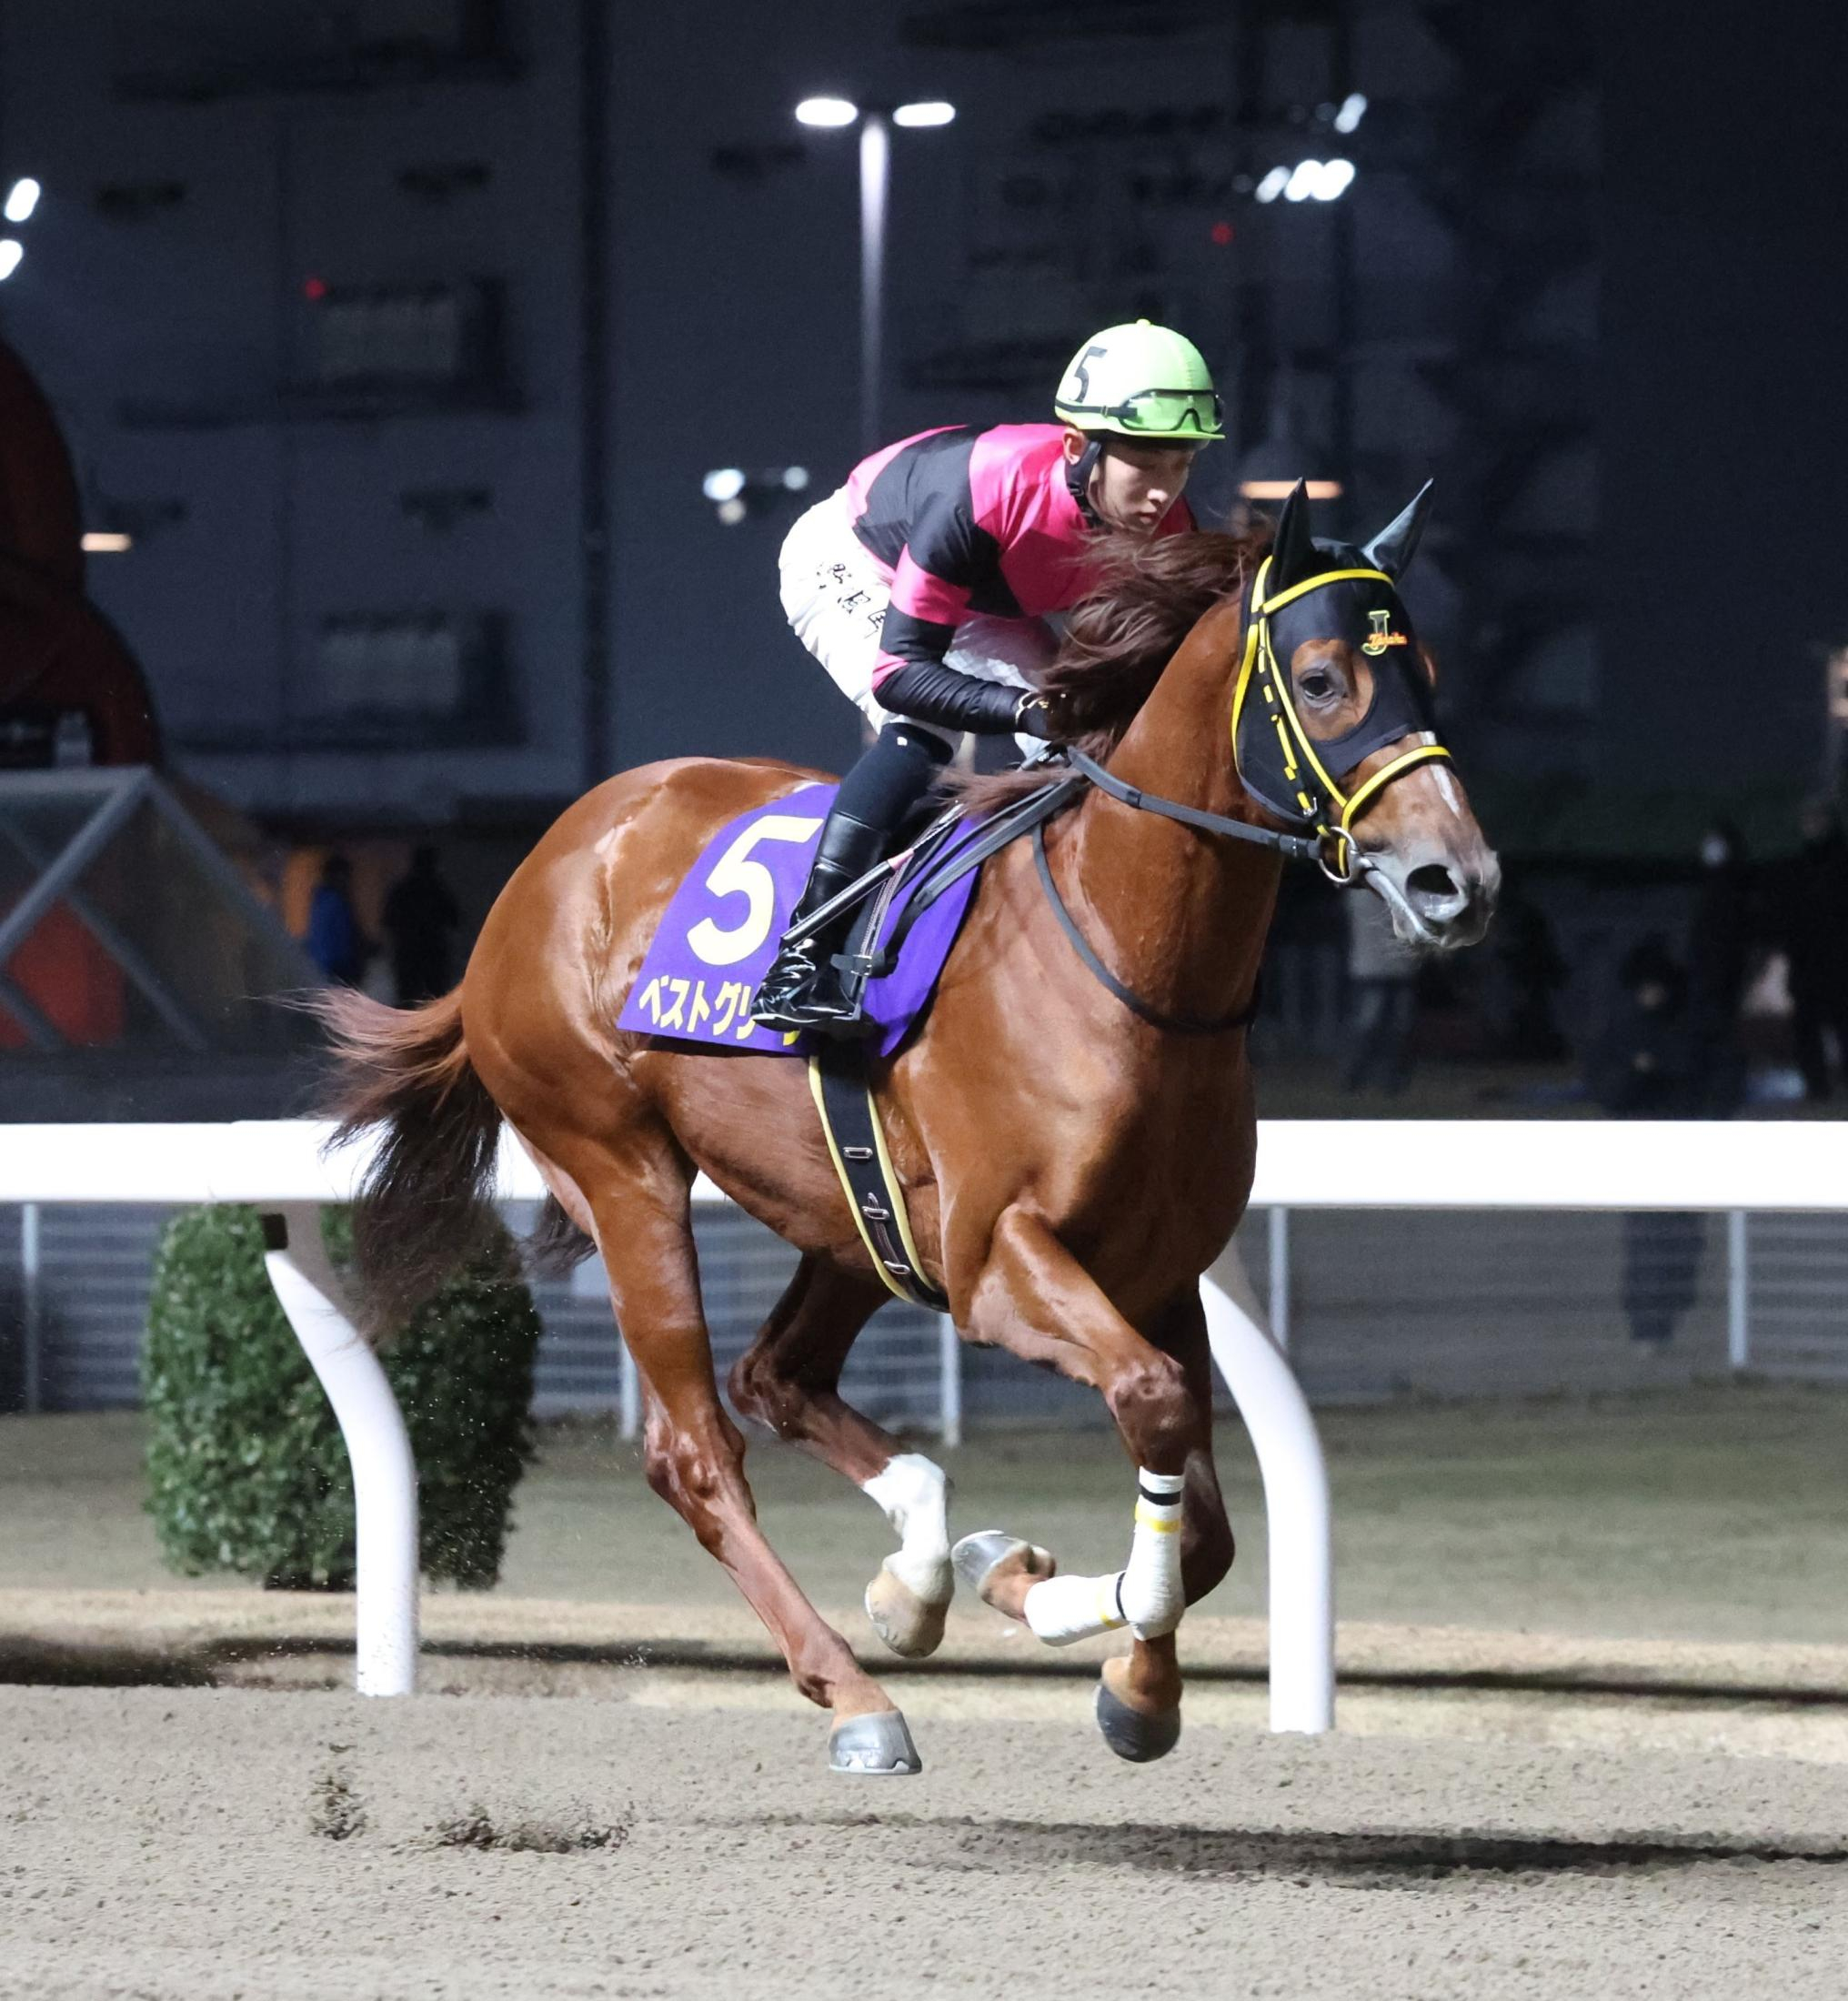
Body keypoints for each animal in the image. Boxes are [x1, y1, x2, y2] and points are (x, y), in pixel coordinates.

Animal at [318, 482, 1499, 1774]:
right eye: (1325, 678)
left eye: (1426, 669)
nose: (1457, 880)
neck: (1122, 959)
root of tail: (546, 864)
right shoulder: (997, 1260)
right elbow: (1151, 1406)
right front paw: (1090, 1631)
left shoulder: (1154, 1270)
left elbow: (1205, 1518)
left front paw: (1069, 1626)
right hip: (620, 1167)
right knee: (696, 1449)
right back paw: (855, 1691)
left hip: (852, 1208)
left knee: (776, 1373)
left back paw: (921, 1571)